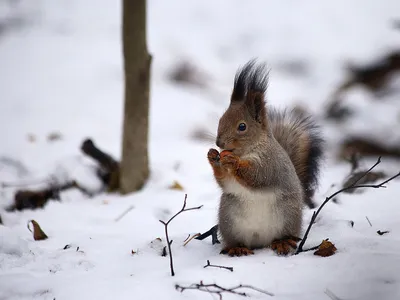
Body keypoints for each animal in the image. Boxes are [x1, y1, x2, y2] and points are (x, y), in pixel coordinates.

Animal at [208, 59, 324, 256]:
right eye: (221, 120)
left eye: (242, 126)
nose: (219, 143)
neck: (247, 151)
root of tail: (260, 241)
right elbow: (226, 182)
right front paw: (212, 156)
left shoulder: (271, 163)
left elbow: (258, 176)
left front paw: (233, 162)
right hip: (229, 220)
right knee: (237, 240)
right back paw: (237, 247)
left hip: (287, 216)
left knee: (283, 235)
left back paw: (283, 242)